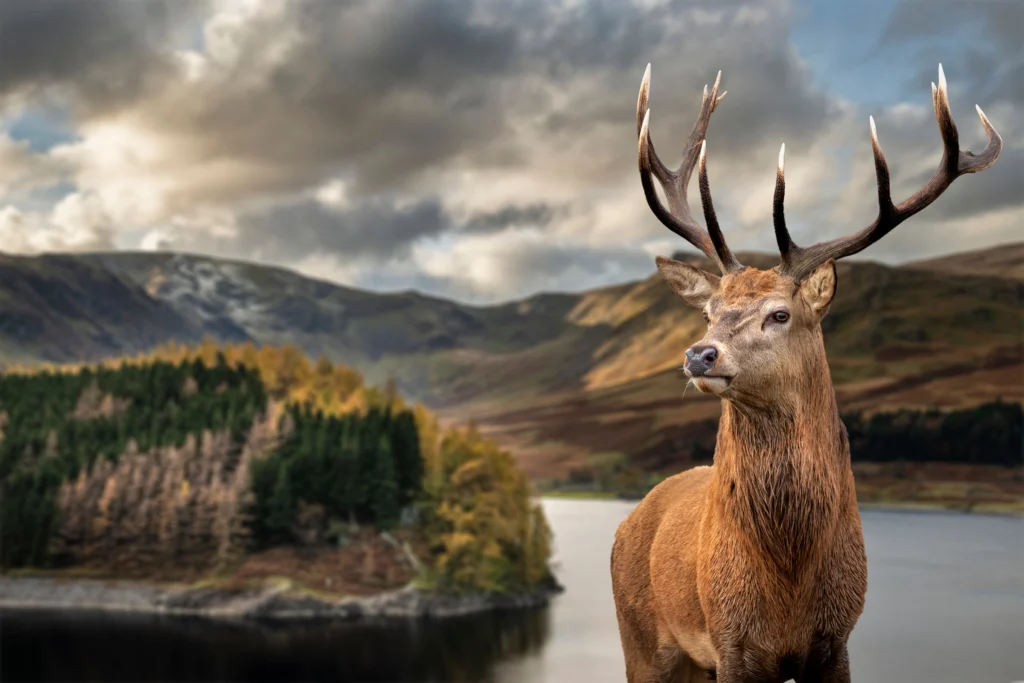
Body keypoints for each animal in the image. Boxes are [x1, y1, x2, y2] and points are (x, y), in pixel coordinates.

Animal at [610, 64, 1002, 683]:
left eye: (780, 314)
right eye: (708, 312)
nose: (700, 355)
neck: (790, 582)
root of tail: (631, 518)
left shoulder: (837, 639)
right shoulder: (732, 643)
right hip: (643, 642)